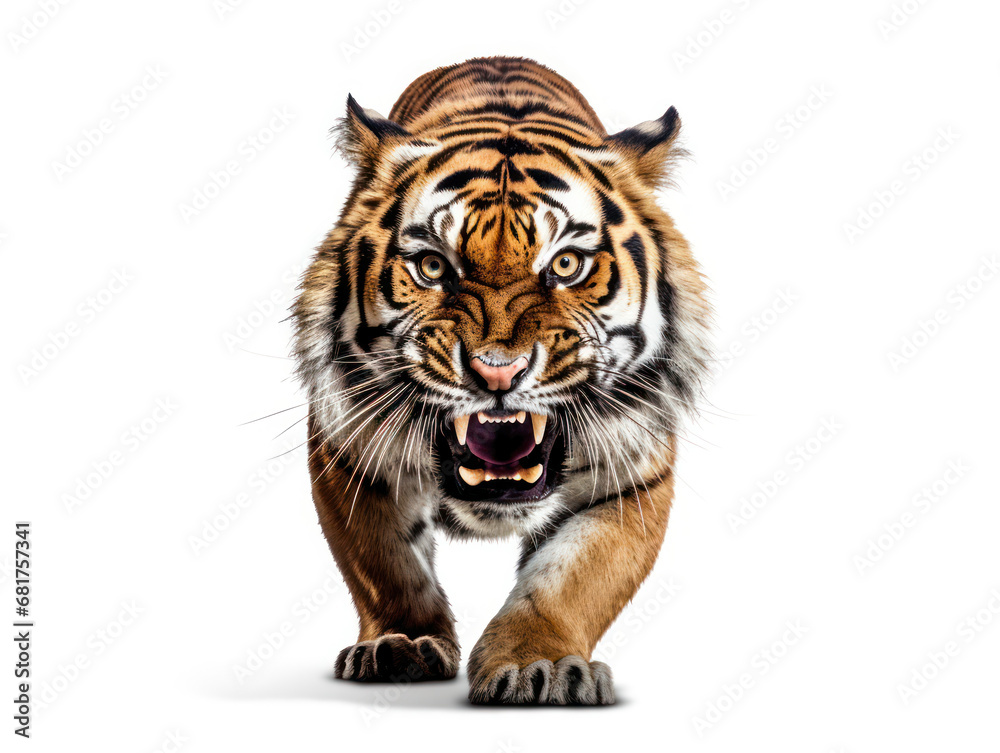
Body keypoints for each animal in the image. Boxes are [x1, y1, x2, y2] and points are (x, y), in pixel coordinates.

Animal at [293, 56, 710, 705]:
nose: (497, 369)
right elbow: (387, 564)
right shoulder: (347, 451)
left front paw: (538, 665)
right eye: (432, 266)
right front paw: (402, 645)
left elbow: (570, 580)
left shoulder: (633, 478)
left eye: (566, 264)